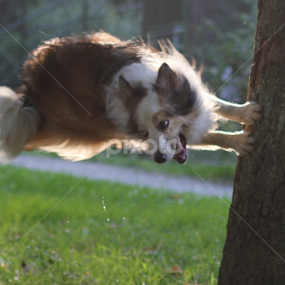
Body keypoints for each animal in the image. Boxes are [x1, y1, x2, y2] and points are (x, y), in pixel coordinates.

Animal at [0, 31, 260, 163]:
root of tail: (29, 96)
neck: (141, 83)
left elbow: (216, 104)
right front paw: (238, 142)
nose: (158, 159)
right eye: (143, 133)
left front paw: (245, 111)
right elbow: (210, 137)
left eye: (163, 123)